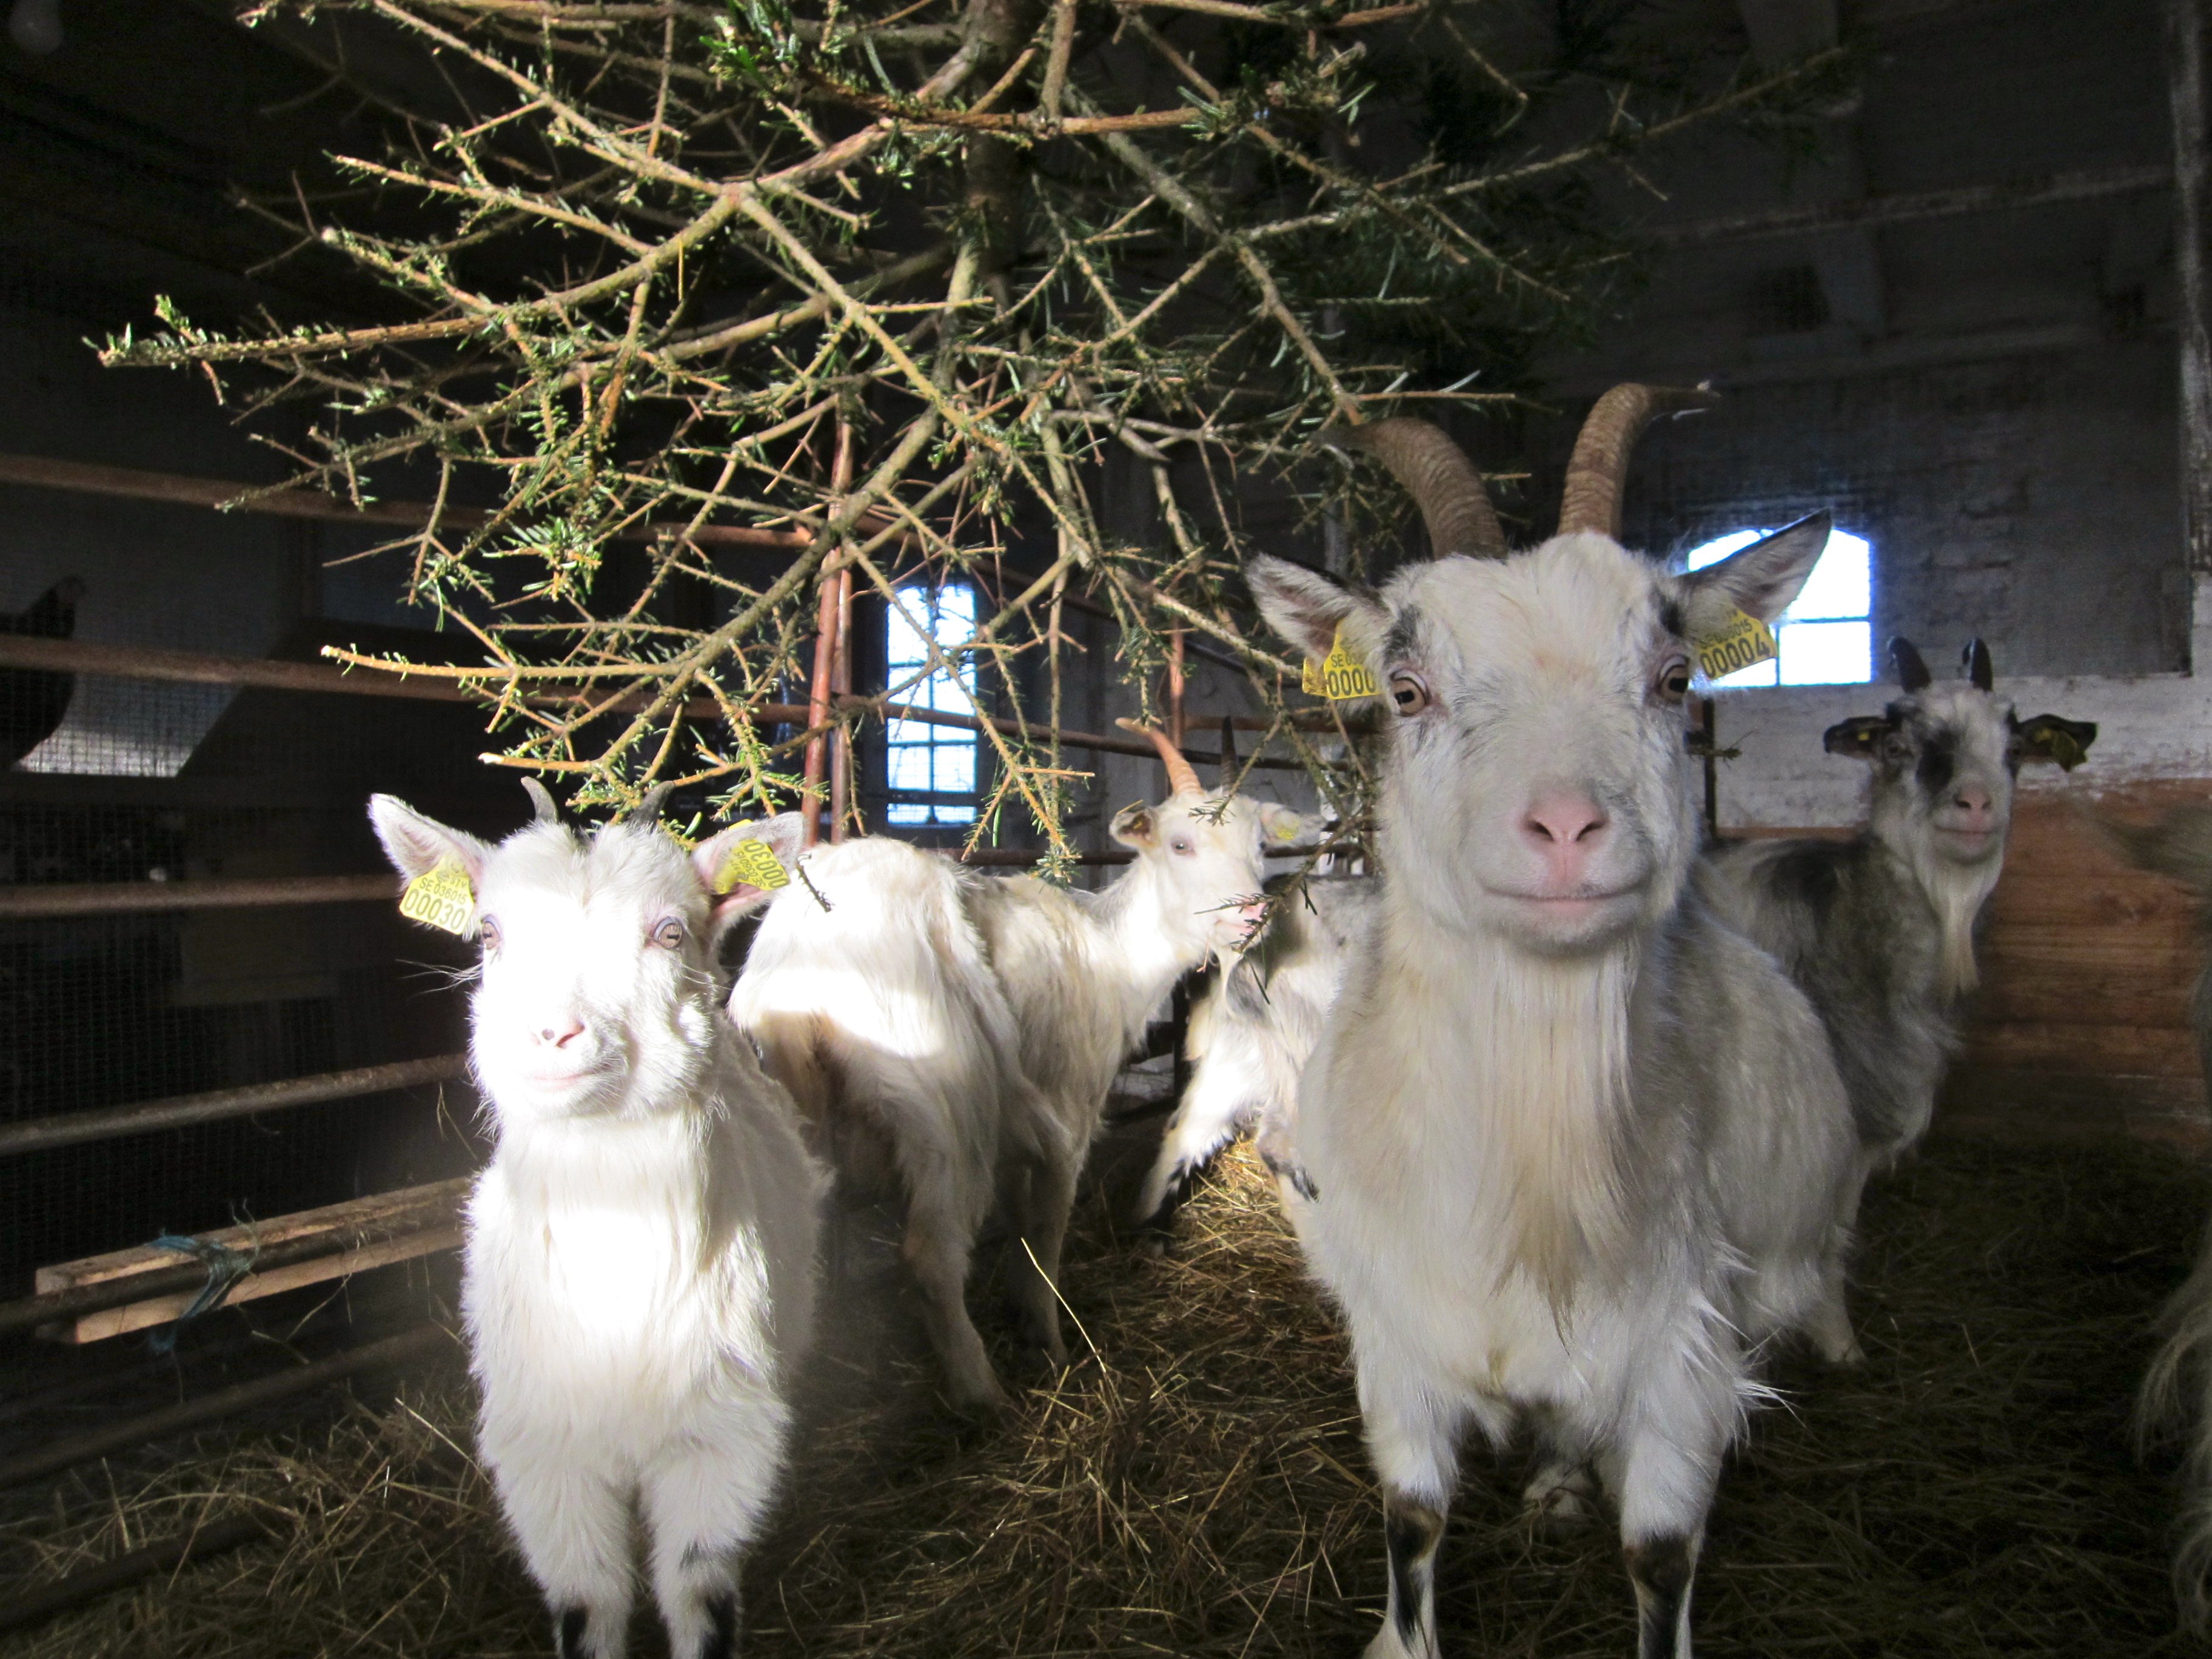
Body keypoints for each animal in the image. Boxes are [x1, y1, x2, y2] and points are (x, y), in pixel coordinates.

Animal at [369, 783, 823, 1659]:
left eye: (670, 931)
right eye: (489, 931)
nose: (553, 1036)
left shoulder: (721, 1442)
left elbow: (698, 1595)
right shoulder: (546, 1457)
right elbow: (593, 1602)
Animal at [728, 729, 1303, 1411]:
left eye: (1260, 847)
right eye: (1180, 843)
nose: (1251, 915)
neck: (1113, 952)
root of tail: (803, 972)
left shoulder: (1012, 1131)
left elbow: (1017, 1222)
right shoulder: (1067, 1114)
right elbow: (1046, 1230)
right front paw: (1049, 1342)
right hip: (941, 1107)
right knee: (931, 1258)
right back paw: (984, 1397)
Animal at [1245, 391, 1862, 1659]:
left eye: (1673, 676)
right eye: (1406, 691)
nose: (1568, 828)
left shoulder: (1686, 1353)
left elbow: (1660, 1554)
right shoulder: (1394, 1333)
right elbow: (1414, 1517)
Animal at [1697, 637, 2096, 1357]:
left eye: (2014, 749)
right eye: (1895, 746)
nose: (1974, 806)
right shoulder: (1838, 1121)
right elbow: (1825, 1244)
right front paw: (1841, 1347)